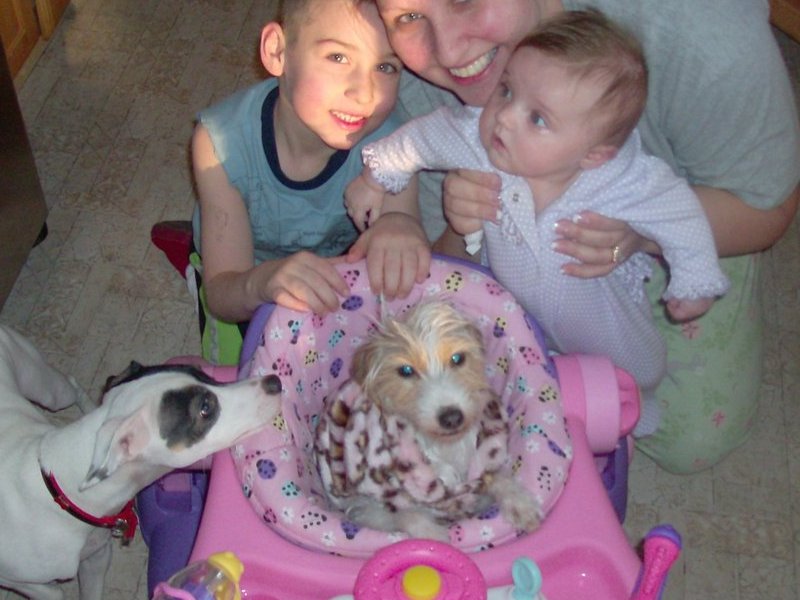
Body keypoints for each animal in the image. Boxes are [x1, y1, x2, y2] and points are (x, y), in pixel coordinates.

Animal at [0, 326, 282, 600]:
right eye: (205, 408)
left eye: (203, 373)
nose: (274, 381)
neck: (62, 495)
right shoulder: (22, 581)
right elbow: (53, 591)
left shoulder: (96, 559)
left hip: (45, 387)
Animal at [316, 302, 540, 540]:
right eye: (406, 370)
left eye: (458, 358)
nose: (452, 417)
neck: (440, 446)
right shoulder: (368, 507)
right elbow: (407, 515)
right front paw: (435, 537)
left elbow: (495, 478)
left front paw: (520, 503)